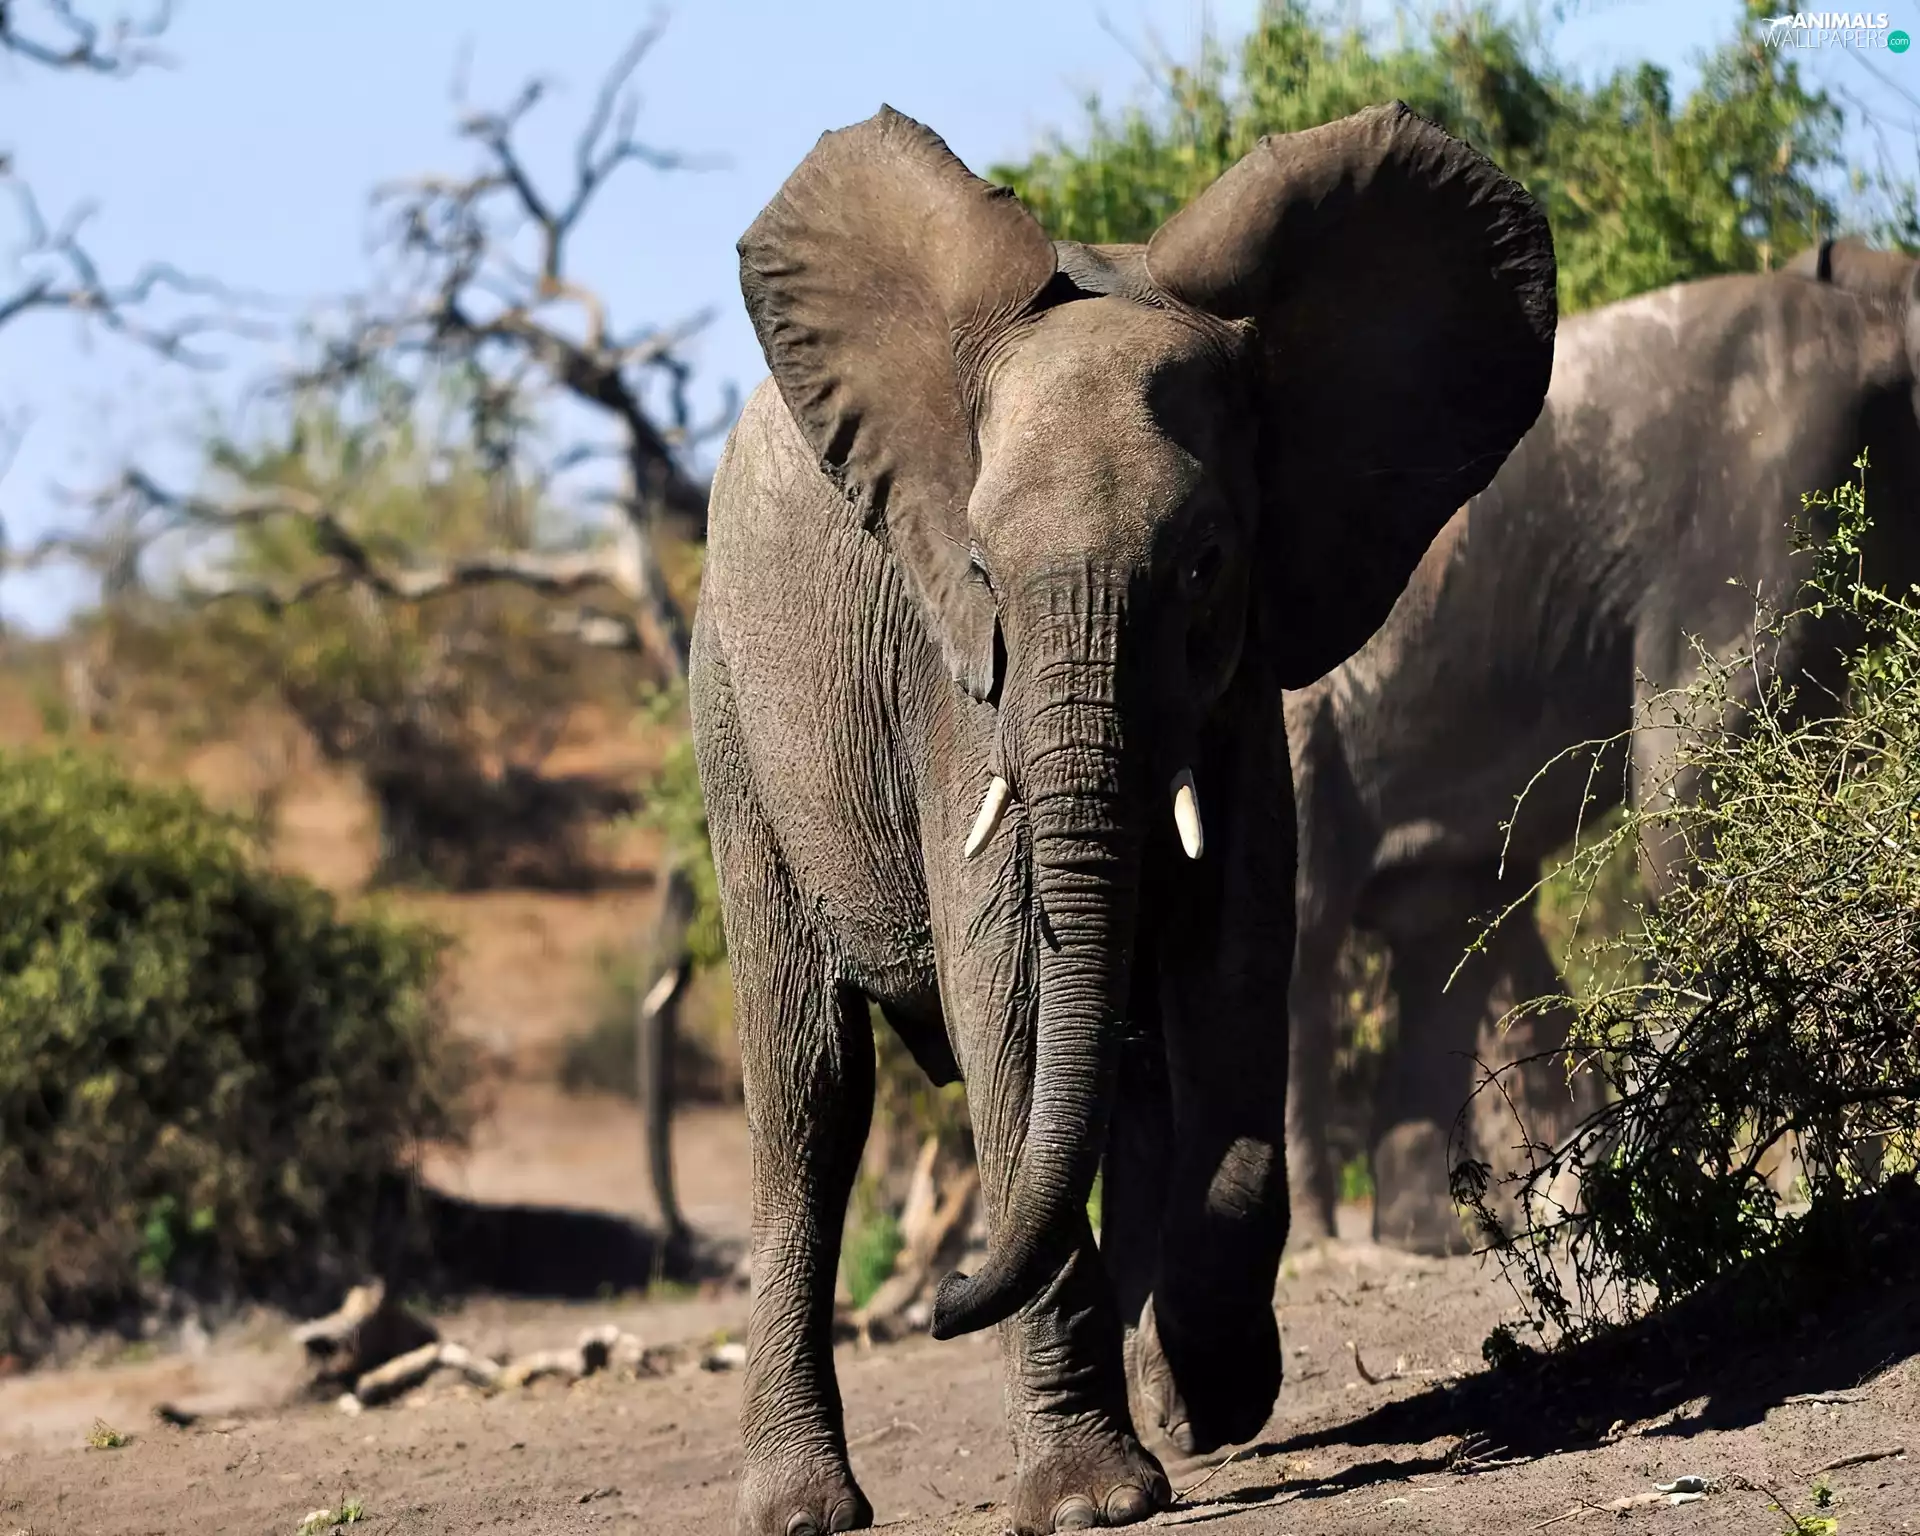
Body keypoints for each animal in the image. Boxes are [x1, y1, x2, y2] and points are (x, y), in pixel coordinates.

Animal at [689, 102, 1555, 1535]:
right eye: (983, 569)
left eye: (1205, 563)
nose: (940, 1301)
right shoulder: (961, 695)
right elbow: (1012, 998)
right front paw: (1097, 1501)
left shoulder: (1243, 692)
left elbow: (1235, 969)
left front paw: (1210, 1400)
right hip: (735, 725)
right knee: (813, 1096)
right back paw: (804, 1509)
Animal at [1283, 237, 1920, 1257]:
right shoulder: (1761, 498)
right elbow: (1692, 795)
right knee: (1309, 930)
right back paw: (1322, 1245)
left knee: (1442, 923)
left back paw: (1433, 1242)